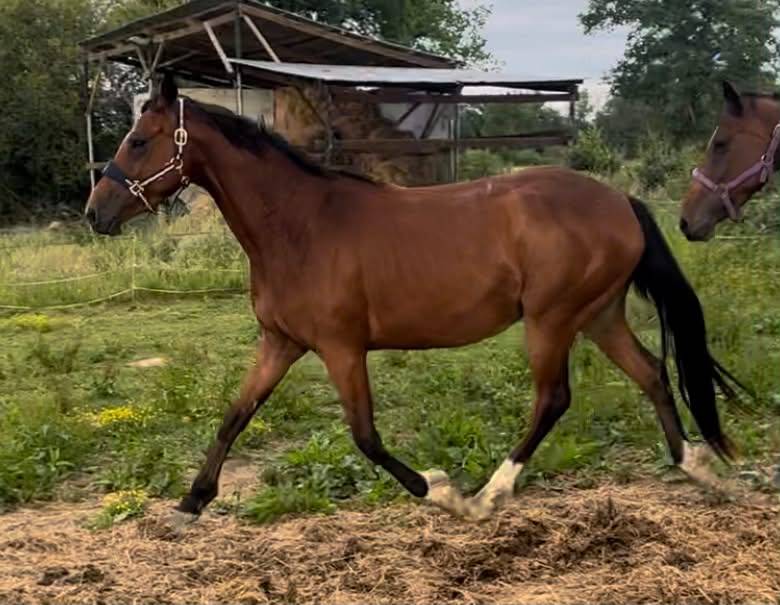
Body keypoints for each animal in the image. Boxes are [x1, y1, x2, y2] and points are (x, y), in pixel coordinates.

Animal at [85, 74, 738, 521]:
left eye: (138, 141)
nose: (95, 213)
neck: (300, 226)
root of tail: (618, 200)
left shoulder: (342, 348)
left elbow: (365, 437)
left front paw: (441, 492)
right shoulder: (281, 343)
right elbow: (234, 416)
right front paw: (190, 504)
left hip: (552, 319)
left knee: (554, 399)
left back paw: (489, 494)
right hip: (598, 314)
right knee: (652, 372)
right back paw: (699, 468)